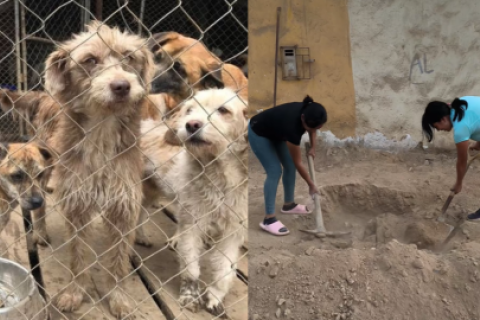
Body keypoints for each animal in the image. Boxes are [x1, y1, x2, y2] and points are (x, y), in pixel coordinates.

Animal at [43, 20, 153, 318]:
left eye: (129, 57)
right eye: (90, 60)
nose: (121, 86)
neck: (103, 128)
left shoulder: (124, 205)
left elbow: (118, 261)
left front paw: (118, 297)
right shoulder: (77, 206)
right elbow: (78, 256)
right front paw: (75, 292)